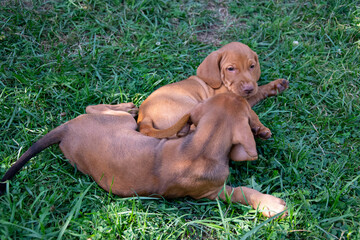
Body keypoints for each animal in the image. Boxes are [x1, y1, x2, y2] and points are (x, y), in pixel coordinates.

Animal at [0, 94, 286, 219]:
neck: (202, 145)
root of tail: (67, 128)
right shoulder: (212, 192)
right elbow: (243, 192)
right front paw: (271, 205)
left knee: (90, 107)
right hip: (123, 123)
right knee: (95, 108)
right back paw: (127, 105)